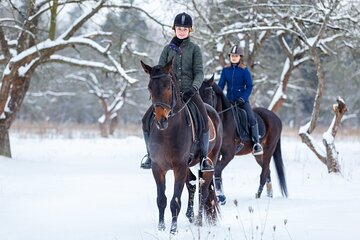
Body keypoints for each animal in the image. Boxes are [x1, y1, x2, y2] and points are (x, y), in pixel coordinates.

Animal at [140, 60, 222, 234]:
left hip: (209, 162)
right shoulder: (158, 168)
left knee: (203, 191)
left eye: (167, 86)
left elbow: (175, 201)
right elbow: (161, 199)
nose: (161, 120)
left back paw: (198, 221)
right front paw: (161, 228)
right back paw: (190, 216)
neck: (168, 132)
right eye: (150, 87)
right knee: (192, 184)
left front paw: (173, 230)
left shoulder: (179, 167)